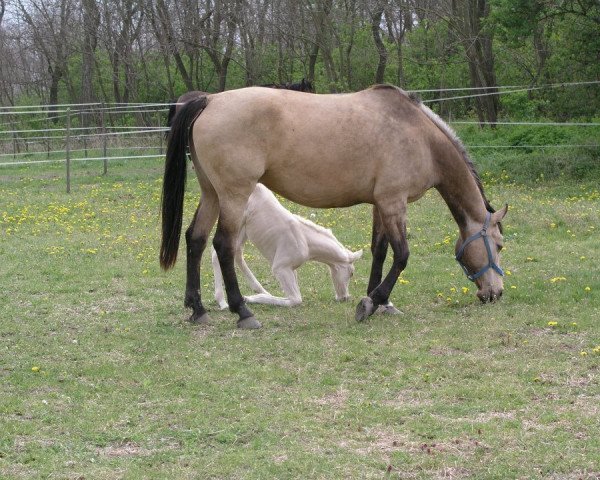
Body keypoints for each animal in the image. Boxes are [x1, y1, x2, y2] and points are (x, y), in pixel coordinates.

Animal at [159, 84, 506, 328]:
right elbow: (402, 255)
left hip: (212, 193)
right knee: (222, 245)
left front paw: (380, 302)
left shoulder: (380, 204)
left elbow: (380, 251)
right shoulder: (394, 202)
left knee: (195, 239)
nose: (496, 293)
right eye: (500, 244)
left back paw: (198, 309)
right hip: (233, 195)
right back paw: (243, 312)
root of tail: (210, 100)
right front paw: (373, 302)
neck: (419, 136)